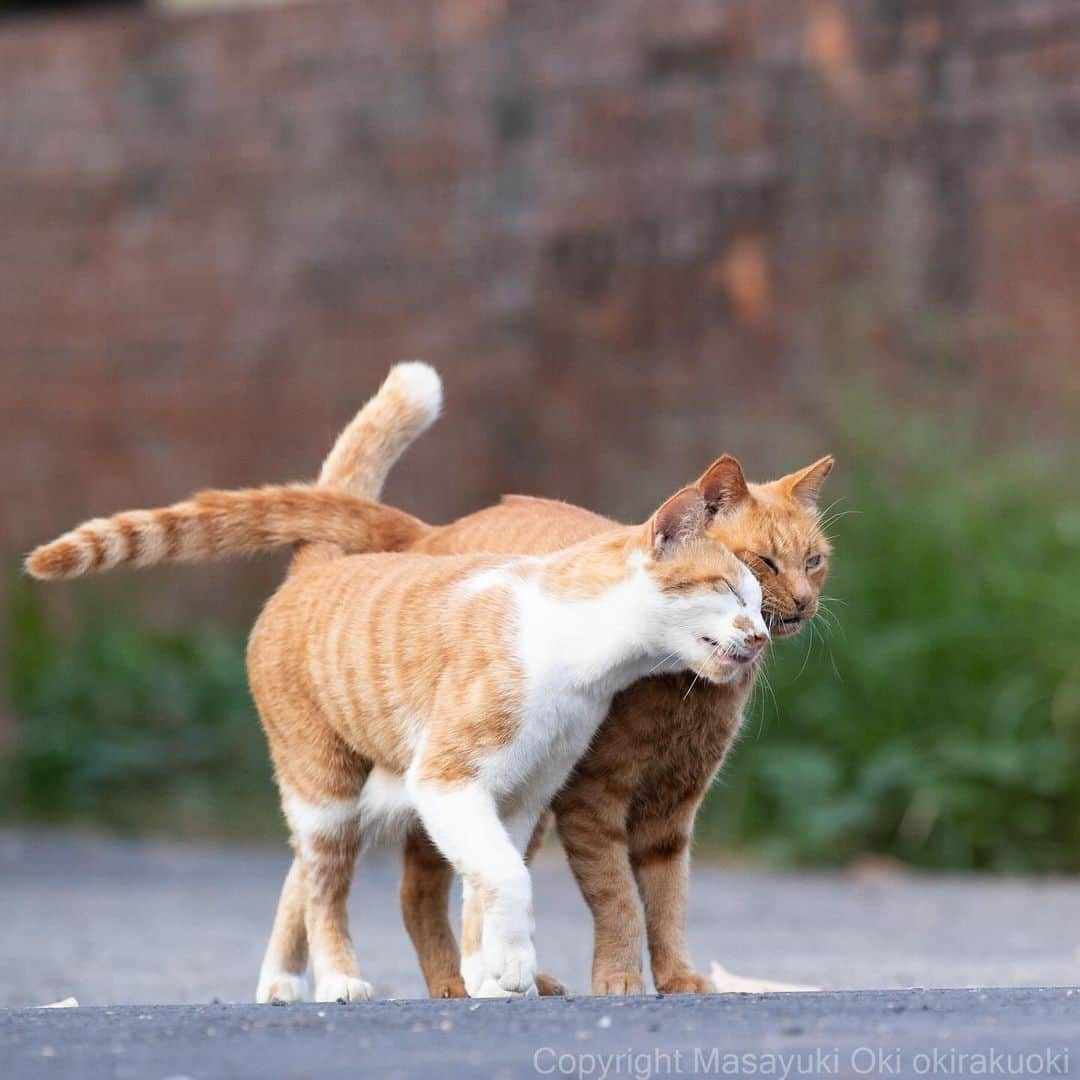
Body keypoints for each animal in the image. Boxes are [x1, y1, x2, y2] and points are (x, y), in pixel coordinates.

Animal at [27, 367, 833, 997]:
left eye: (812, 563)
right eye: (741, 579)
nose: (772, 626)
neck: (590, 663)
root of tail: (317, 569)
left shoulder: (529, 797)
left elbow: (518, 889)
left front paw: (501, 973)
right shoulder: (462, 782)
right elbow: (535, 885)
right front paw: (531, 974)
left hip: (380, 797)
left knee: (327, 875)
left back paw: (294, 982)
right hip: (330, 788)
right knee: (328, 884)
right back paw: (335, 981)